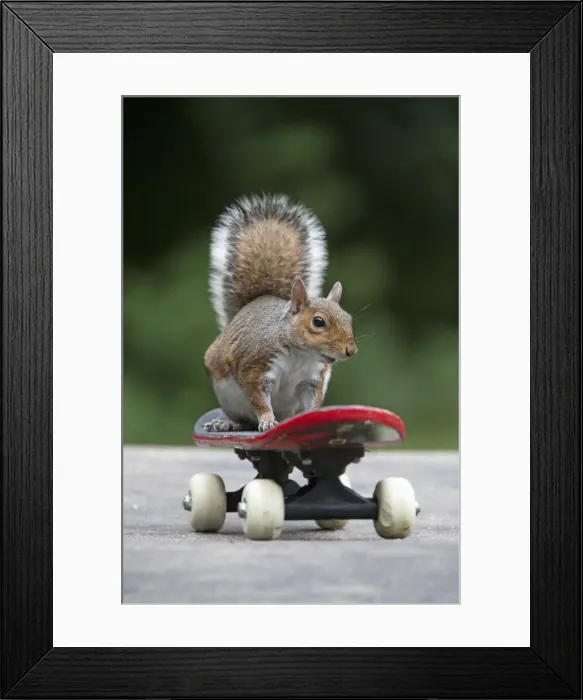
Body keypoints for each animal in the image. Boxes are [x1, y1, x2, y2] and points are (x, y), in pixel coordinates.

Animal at [203, 193, 358, 433]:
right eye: (318, 322)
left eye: (349, 318)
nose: (351, 350)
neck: (301, 356)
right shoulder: (254, 365)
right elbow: (258, 398)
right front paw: (267, 419)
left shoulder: (312, 380)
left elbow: (313, 401)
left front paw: (315, 417)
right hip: (227, 394)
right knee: (244, 419)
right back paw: (227, 423)